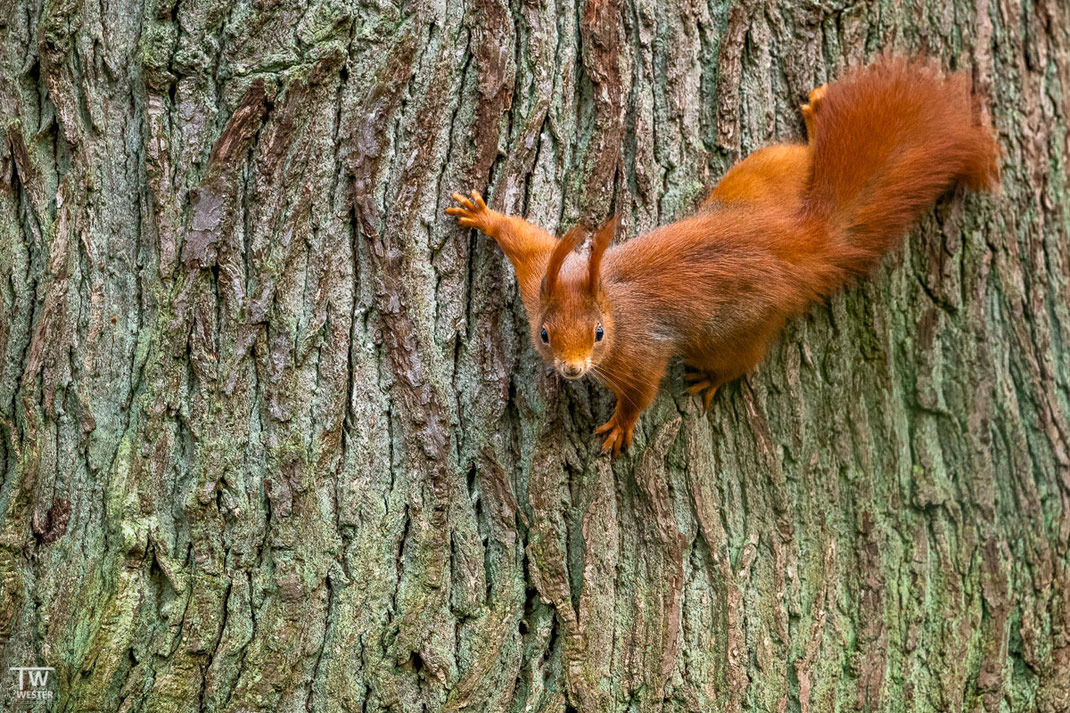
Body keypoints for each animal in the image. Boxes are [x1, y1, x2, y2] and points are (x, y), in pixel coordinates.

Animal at [447, 57, 997, 456]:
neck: (612, 302)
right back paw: (818, 113)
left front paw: (621, 426)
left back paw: (713, 377)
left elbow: (642, 391)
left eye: (599, 334)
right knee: (801, 155)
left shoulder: (639, 352)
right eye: (543, 334)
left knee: (740, 359)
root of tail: (796, 245)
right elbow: (523, 237)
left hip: (739, 328)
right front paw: (482, 215)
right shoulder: (540, 272)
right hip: (762, 178)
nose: (572, 370)